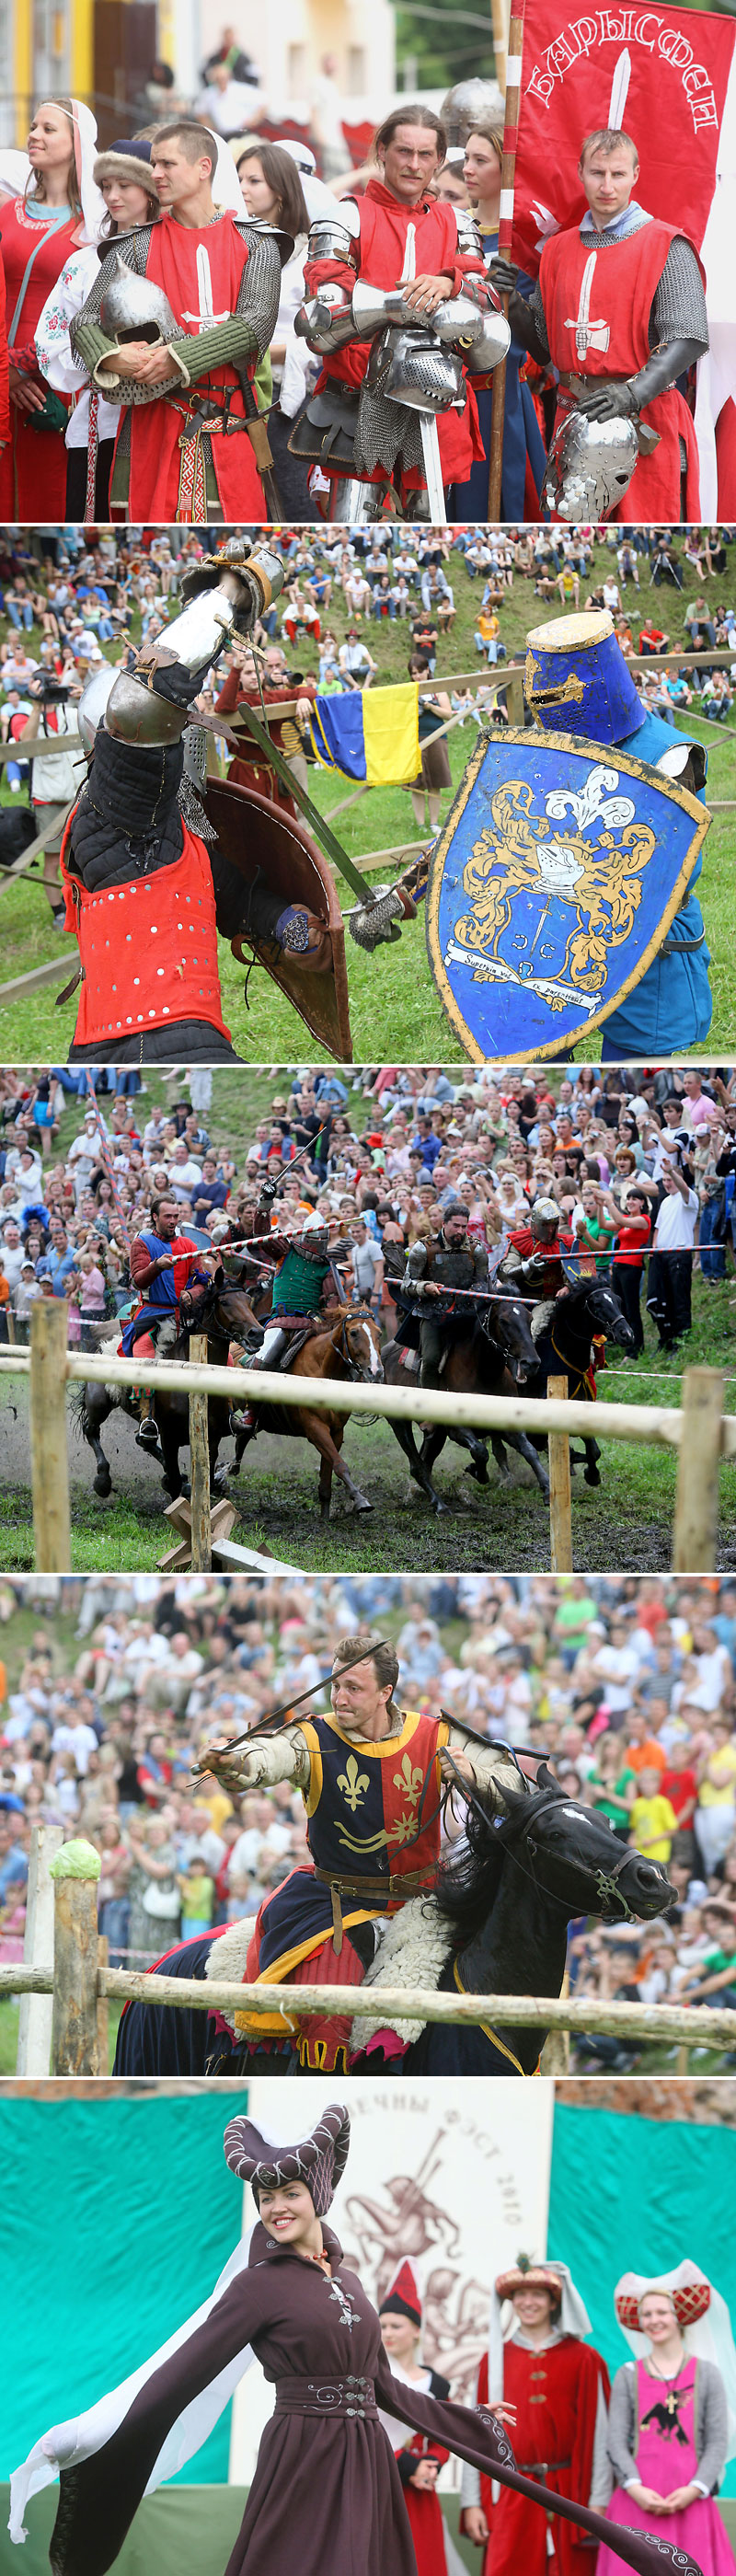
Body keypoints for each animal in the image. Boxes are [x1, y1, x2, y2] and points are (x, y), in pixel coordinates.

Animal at [227, 1298, 383, 1514]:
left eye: (379, 1333)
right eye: (353, 1333)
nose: (375, 1371)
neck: (323, 1370)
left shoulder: (336, 1432)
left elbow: (329, 1471)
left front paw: (325, 1512)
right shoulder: (315, 1428)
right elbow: (340, 1464)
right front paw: (360, 1499)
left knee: (244, 1434)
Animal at [383, 1288, 547, 1504]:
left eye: (530, 1319)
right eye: (503, 1320)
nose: (532, 1363)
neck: (483, 1372)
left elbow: (529, 1450)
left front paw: (547, 1487)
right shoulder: (456, 1428)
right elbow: (480, 1451)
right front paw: (478, 1472)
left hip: (436, 1435)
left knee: (425, 1462)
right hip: (399, 1422)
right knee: (417, 1465)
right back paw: (440, 1505)